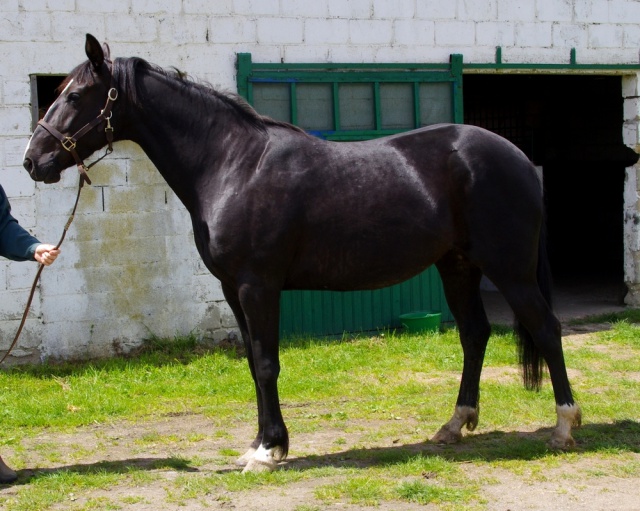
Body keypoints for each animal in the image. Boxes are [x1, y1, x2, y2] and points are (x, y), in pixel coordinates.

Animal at [23, 36, 580, 474]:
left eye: (75, 94)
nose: (33, 161)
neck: (232, 163)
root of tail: (518, 158)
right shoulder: (233, 290)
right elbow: (253, 363)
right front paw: (262, 443)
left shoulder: (258, 286)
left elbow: (268, 364)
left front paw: (269, 452)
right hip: (457, 266)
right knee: (474, 335)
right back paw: (454, 424)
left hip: (510, 269)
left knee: (545, 329)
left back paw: (564, 426)